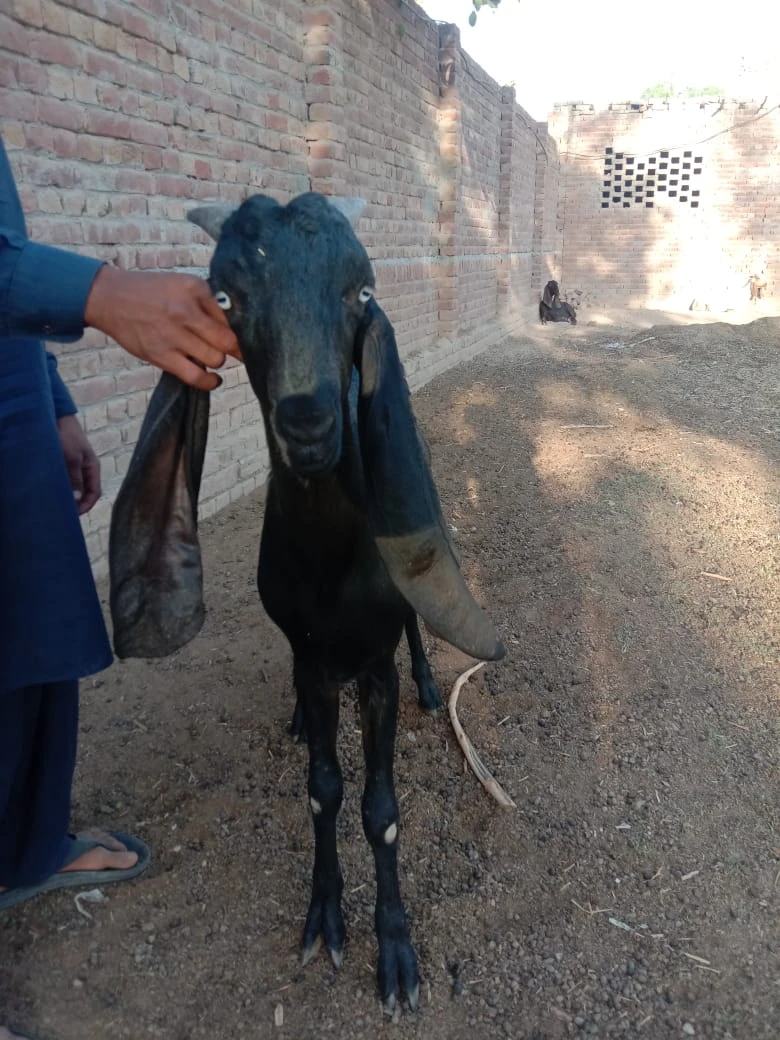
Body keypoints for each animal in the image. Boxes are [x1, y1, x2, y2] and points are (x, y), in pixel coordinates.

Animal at [112, 191, 507, 1010]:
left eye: (362, 291)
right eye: (225, 297)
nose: (309, 422)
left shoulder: (375, 660)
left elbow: (381, 810)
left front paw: (396, 953)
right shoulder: (312, 653)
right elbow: (324, 789)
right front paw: (325, 915)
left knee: (416, 628)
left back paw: (432, 687)